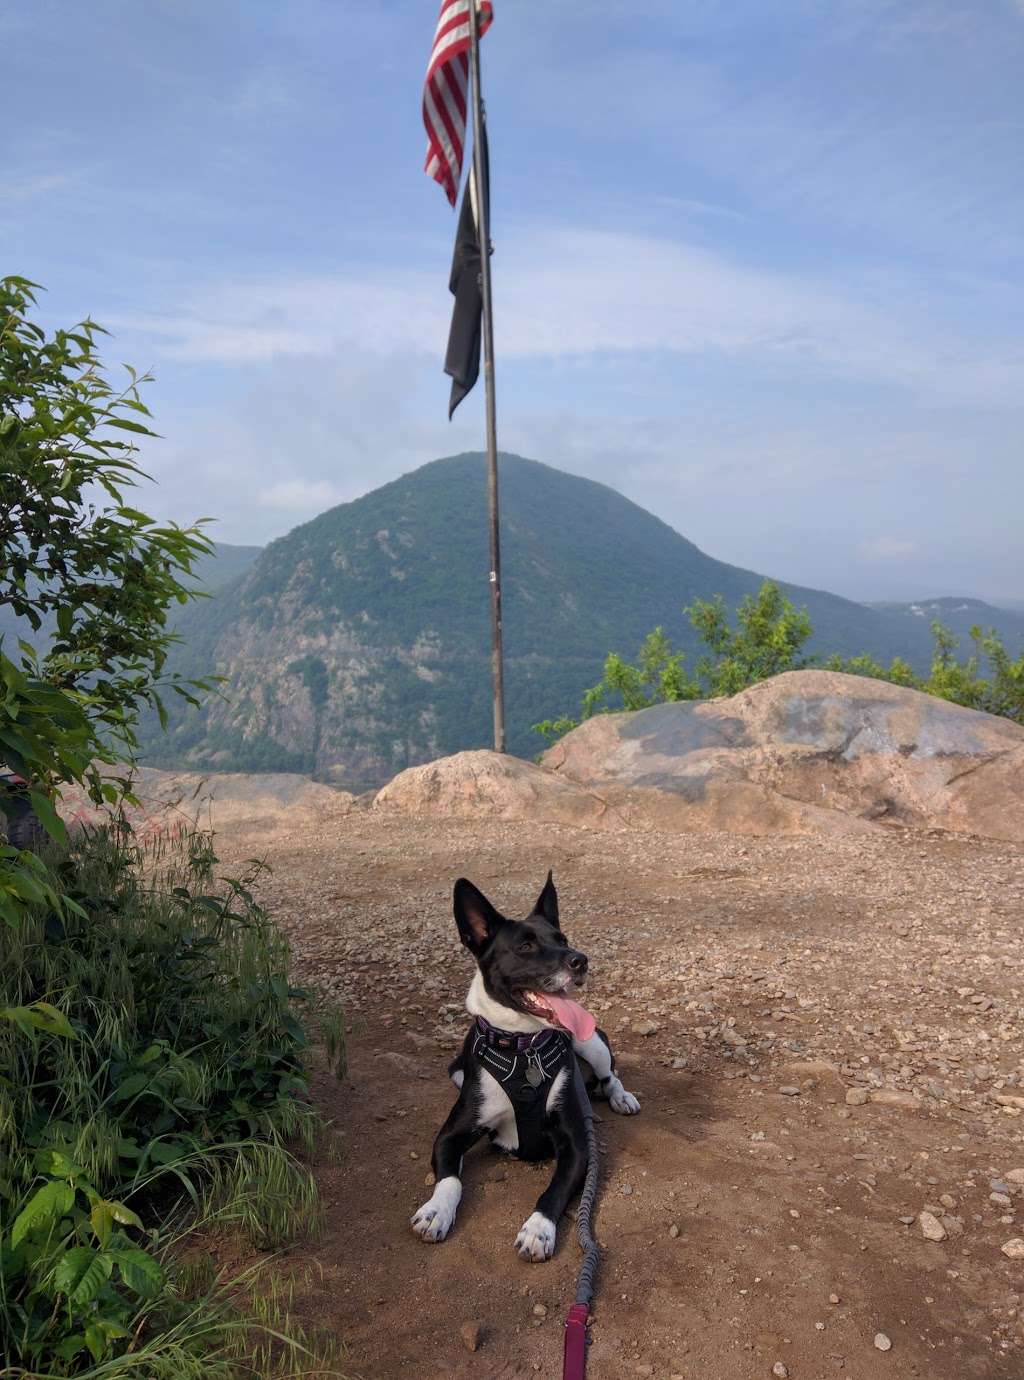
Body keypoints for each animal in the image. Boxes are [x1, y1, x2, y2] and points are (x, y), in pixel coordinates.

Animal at [411, 872, 637, 1264]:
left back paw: (620, 1097)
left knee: (611, 1075)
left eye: (563, 940)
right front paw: (436, 1211)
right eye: (526, 946)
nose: (580, 960)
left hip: (590, 1043)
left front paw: (537, 1230)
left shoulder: (577, 1147)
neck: (522, 1047)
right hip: (458, 1071)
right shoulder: (450, 1135)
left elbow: (554, 1191)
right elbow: (450, 1179)